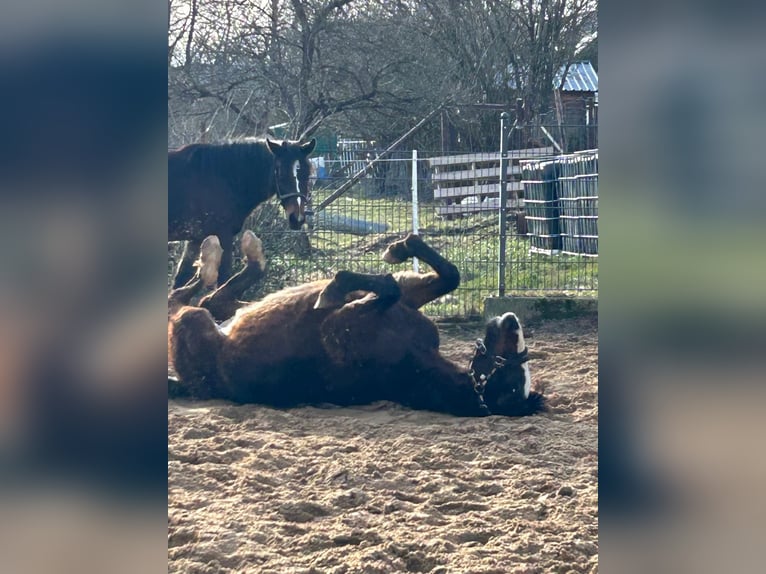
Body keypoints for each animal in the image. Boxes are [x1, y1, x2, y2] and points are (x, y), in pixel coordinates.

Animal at [168, 234, 544, 418]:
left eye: (512, 383)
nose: (511, 321)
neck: (414, 359)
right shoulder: (410, 297)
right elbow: (448, 275)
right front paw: (399, 247)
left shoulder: (339, 324)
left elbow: (387, 286)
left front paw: (333, 288)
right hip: (217, 313)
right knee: (214, 296)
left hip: (192, 321)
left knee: (187, 298)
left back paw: (211, 257)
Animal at [170, 138, 316, 290]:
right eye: (281, 174)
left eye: (307, 175)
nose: (297, 219)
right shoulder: (224, 237)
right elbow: (223, 280)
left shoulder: (196, 239)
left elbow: (180, 280)